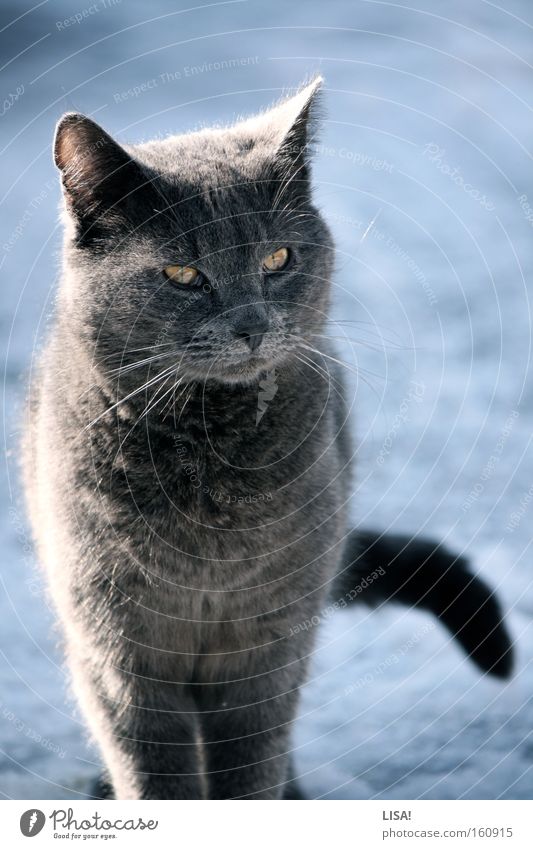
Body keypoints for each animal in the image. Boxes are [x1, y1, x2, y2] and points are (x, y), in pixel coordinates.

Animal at [21, 76, 512, 800]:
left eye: (277, 258)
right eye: (183, 274)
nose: (251, 325)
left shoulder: (269, 645)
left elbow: (249, 765)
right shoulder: (120, 653)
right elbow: (156, 774)